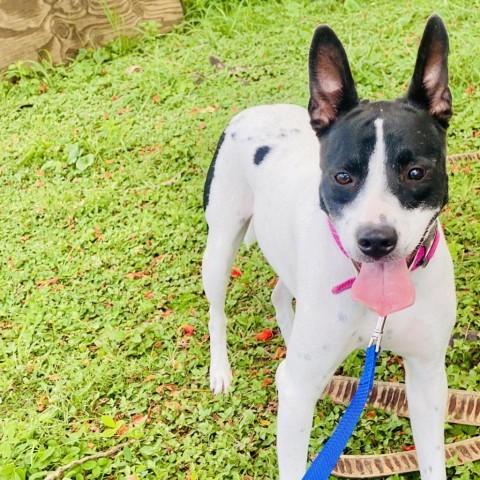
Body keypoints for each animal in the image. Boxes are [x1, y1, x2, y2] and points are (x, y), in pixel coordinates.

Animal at [201, 15, 456, 480]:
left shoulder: (428, 375)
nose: (376, 241)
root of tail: (255, 110)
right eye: (342, 177)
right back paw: (221, 371)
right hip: (220, 245)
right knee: (216, 310)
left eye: (415, 172)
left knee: (280, 293)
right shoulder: (296, 393)